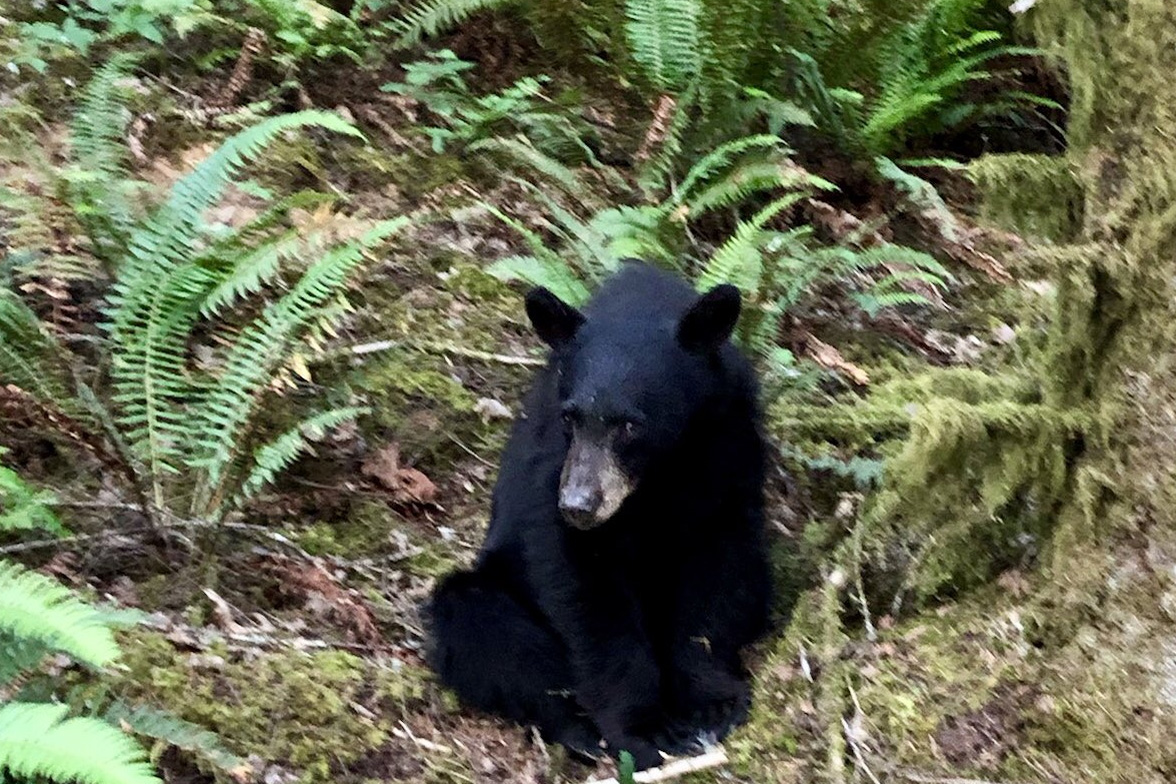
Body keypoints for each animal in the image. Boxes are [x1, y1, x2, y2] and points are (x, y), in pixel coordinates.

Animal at [425, 261, 771, 770]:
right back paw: (580, 729)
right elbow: (586, 591)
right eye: (572, 417)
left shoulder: (729, 439)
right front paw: (644, 726)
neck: (659, 473)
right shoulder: (553, 463)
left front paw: (713, 701)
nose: (578, 504)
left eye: (631, 424)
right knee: (479, 624)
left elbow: (719, 567)